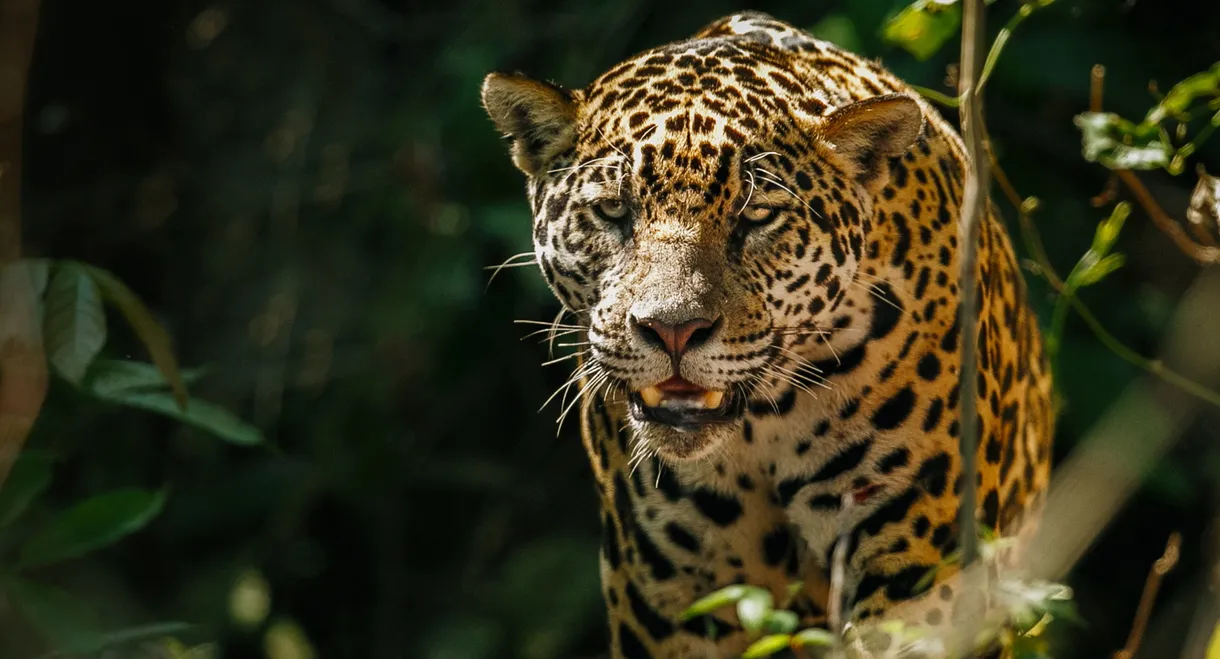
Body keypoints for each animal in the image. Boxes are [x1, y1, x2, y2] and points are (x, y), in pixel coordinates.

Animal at [481, 11, 1054, 659]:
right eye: (612, 211)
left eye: (756, 217)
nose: (672, 329)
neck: (763, 429)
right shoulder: (667, 598)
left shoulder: (923, 557)